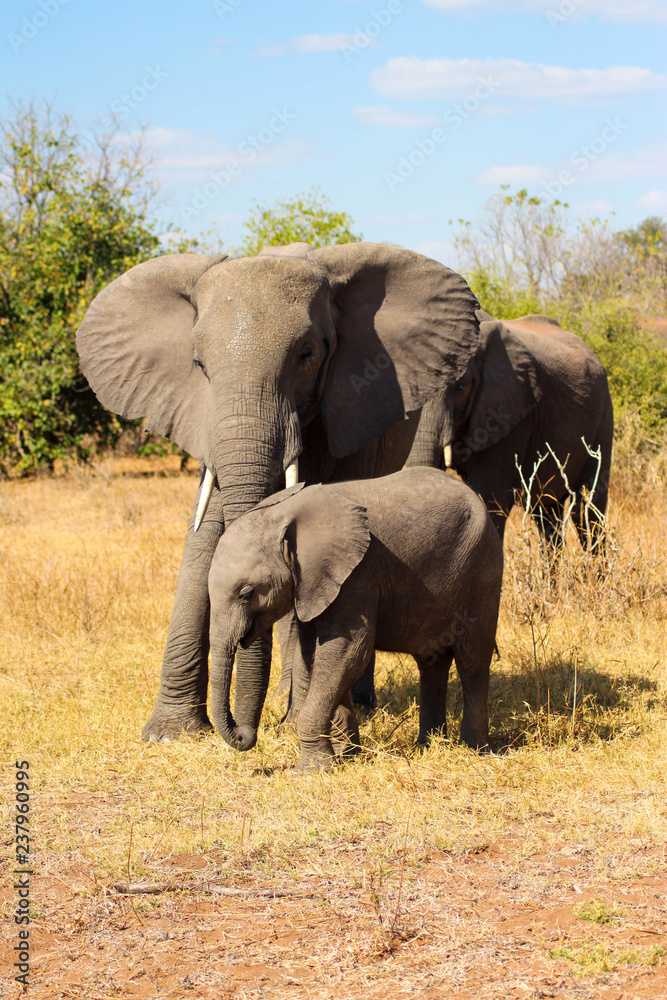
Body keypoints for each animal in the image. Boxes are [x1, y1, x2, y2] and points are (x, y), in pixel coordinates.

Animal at [207, 468, 504, 770]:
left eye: (247, 593)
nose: (244, 736)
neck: (283, 513)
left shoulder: (358, 573)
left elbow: (347, 652)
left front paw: (312, 769)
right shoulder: (313, 584)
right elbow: (316, 656)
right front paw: (344, 755)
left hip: (482, 569)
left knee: (472, 658)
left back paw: (475, 749)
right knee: (432, 661)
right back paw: (428, 745)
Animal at [406, 312, 614, 550]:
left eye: (460, 388)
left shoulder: (510, 414)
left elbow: (489, 497)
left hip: (604, 416)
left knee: (587, 508)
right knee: (546, 511)